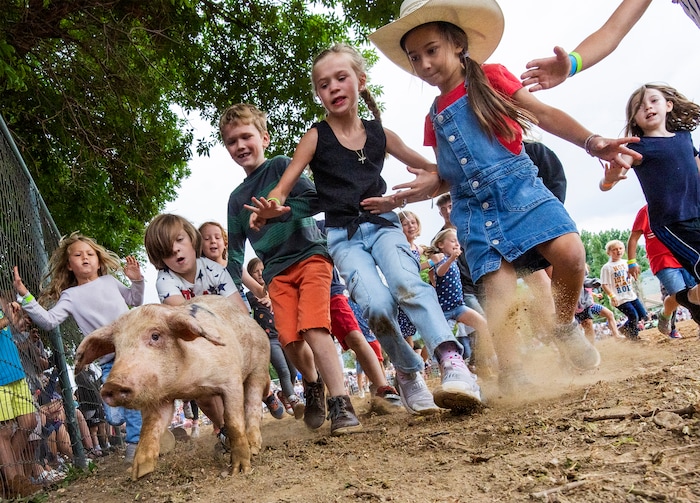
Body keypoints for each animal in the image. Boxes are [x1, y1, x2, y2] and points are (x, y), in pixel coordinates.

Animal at [75, 296, 272, 480]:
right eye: (116, 348)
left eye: (155, 336)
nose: (112, 385)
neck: (186, 384)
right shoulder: (161, 399)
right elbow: (149, 427)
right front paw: (137, 473)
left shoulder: (231, 380)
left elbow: (233, 421)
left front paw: (240, 470)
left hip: (260, 366)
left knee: (253, 404)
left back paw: (254, 447)